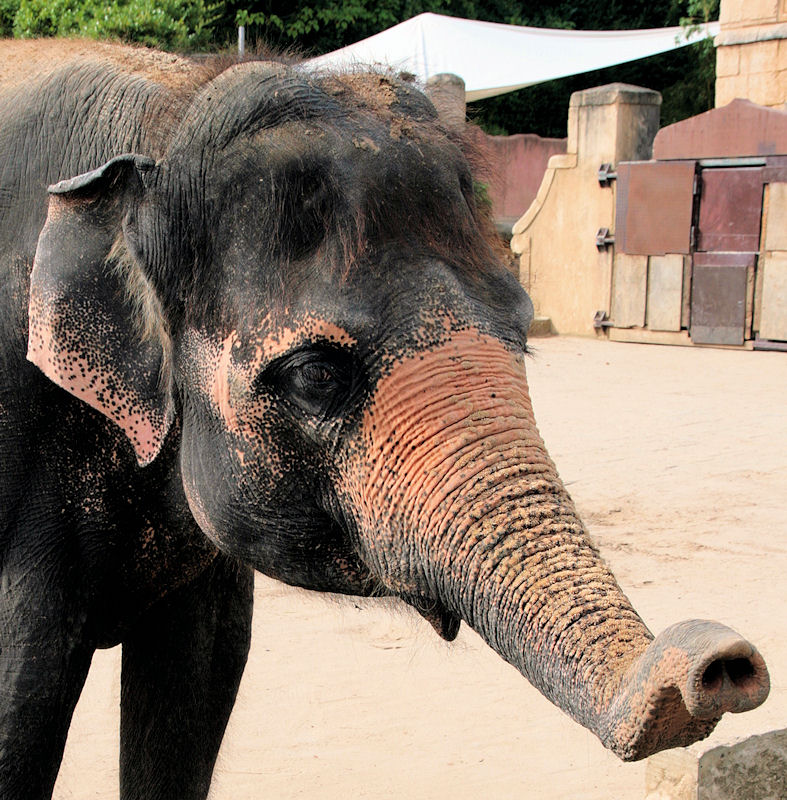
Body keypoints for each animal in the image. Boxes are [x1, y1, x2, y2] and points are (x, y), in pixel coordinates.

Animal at [0, 39, 768, 800]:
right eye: (315, 374)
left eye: (522, 334)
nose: (724, 663)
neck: (166, 116)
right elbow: (21, 695)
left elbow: (196, 688)